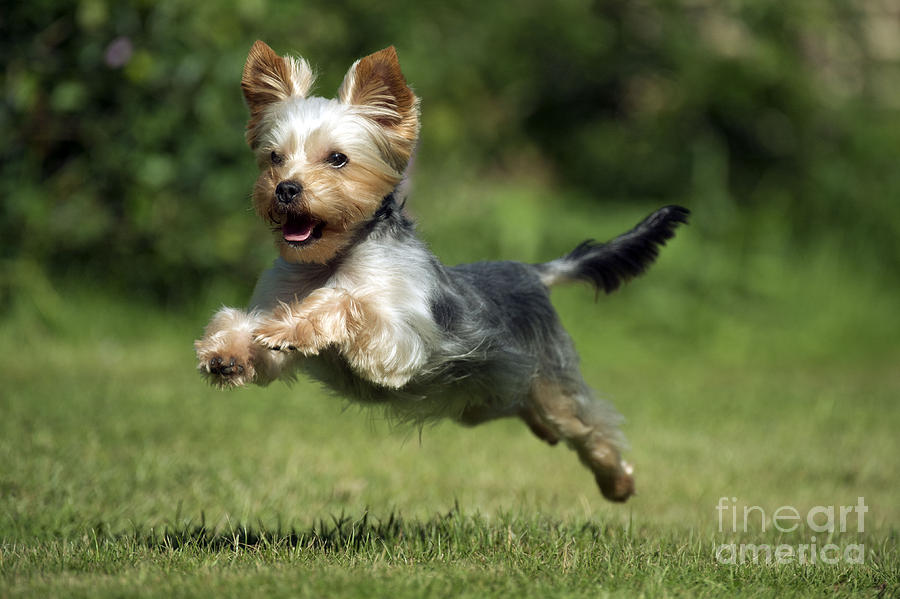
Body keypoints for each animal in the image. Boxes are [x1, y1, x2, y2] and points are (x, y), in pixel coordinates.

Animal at [195, 39, 688, 504]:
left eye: (337, 159)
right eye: (274, 157)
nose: (285, 189)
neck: (332, 258)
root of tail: (532, 272)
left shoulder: (400, 343)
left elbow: (348, 302)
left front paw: (295, 324)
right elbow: (249, 332)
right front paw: (227, 352)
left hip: (552, 379)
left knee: (590, 425)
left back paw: (617, 483)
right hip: (498, 394)